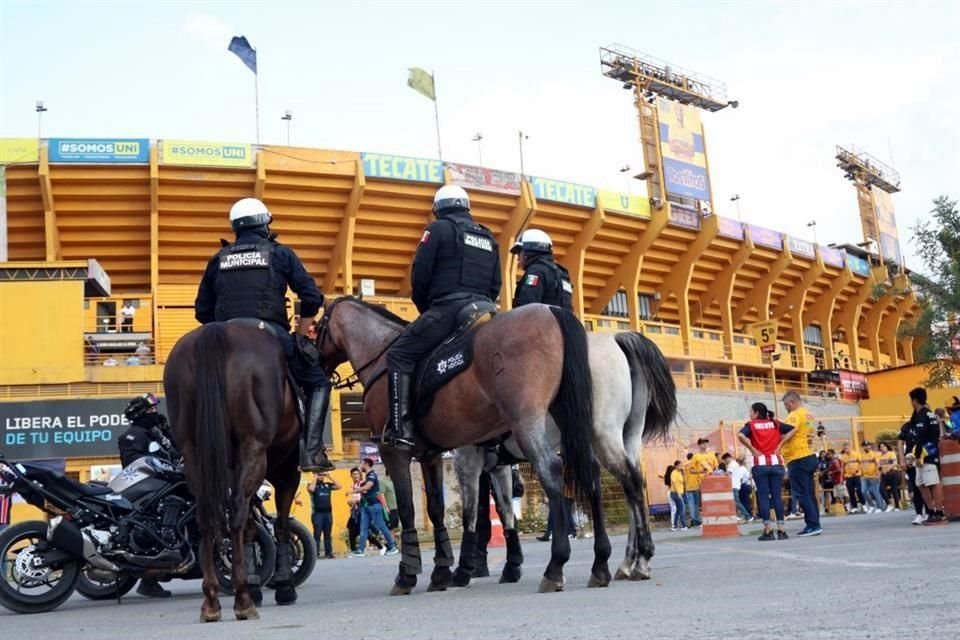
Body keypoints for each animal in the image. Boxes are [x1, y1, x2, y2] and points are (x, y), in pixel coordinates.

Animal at [163, 322, 302, 624]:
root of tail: (217, 332)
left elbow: (253, 526)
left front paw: (254, 579)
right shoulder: (287, 471)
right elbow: (280, 525)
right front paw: (283, 584)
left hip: (194, 453)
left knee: (208, 514)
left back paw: (212, 601)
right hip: (254, 446)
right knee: (237, 509)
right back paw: (242, 600)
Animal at [318, 298, 612, 592]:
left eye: (317, 326)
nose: (316, 361)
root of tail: (552, 311)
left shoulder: (398, 452)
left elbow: (414, 508)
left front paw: (409, 574)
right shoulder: (433, 456)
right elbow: (441, 509)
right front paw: (443, 571)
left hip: (527, 420)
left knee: (551, 472)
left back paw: (556, 566)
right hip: (571, 422)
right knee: (592, 473)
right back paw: (601, 563)